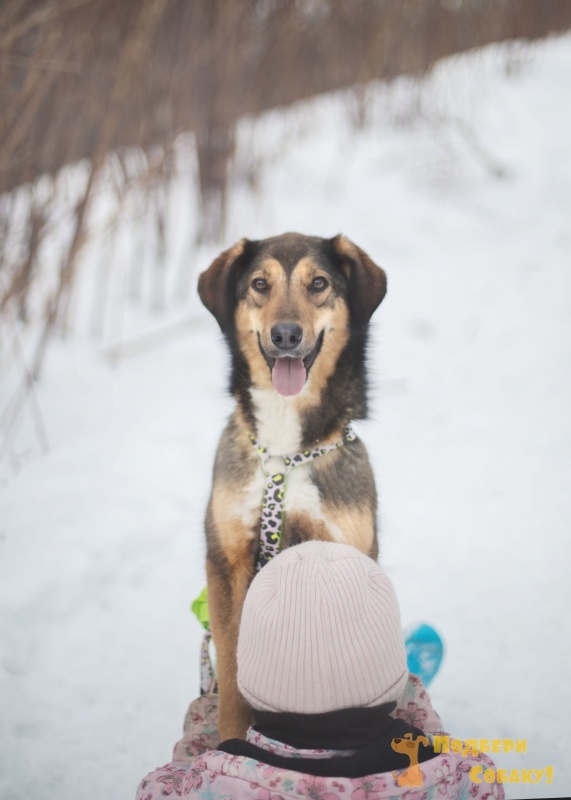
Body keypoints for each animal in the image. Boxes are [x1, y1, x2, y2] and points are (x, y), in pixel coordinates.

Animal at [198, 232, 387, 739]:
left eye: (318, 283)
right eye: (260, 284)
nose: (285, 336)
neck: (285, 454)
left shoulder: (346, 552)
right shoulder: (226, 560)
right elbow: (233, 670)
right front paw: (231, 739)